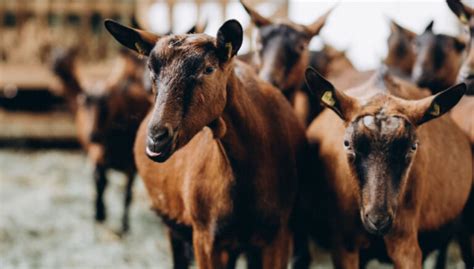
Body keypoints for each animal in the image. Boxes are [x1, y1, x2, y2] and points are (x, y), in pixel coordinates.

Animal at [51, 48, 150, 232]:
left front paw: (124, 226)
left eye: (107, 106)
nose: (93, 136)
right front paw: (99, 215)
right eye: (85, 104)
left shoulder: (131, 167)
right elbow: (100, 185)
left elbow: (127, 194)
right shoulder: (98, 157)